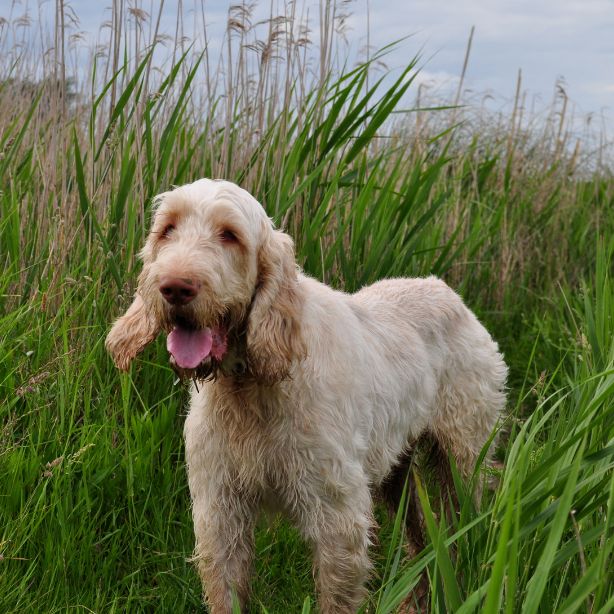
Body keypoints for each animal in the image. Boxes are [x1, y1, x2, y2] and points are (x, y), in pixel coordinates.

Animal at [107, 179, 510, 614]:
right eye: (167, 229)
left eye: (229, 234)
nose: (175, 288)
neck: (250, 388)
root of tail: (448, 291)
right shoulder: (221, 513)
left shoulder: (338, 518)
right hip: (396, 473)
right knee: (422, 537)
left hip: (465, 462)